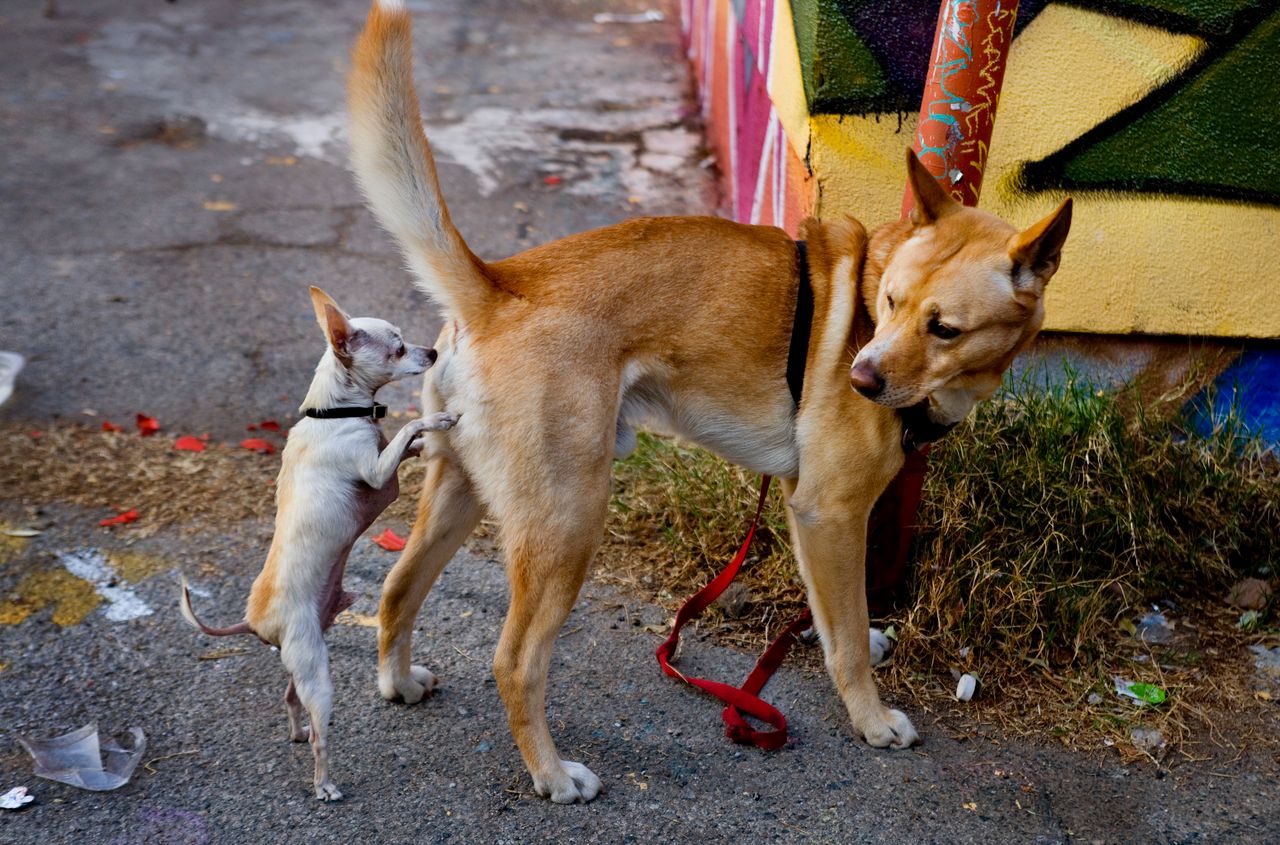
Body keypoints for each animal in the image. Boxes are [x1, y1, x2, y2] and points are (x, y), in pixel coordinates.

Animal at [348, 0, 1070, 804]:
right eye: (888, 303)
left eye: (943, 326)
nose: (859, 379)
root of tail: (501, 285)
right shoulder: (830, 511)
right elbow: (847, 637)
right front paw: (871, 717)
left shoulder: (808, 511)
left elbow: (837, 616)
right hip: (568, 520)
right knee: (515, 660)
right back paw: (551, 773)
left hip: (462, 488)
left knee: (397, 588)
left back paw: (398, 681)